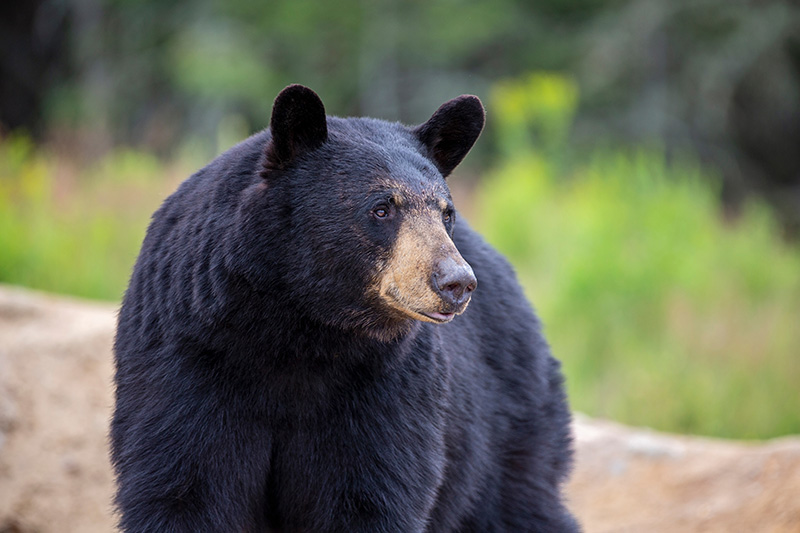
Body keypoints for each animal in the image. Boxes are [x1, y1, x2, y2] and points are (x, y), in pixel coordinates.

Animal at [111, 84, 579, 532]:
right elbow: (184, 486)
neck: (301, 327)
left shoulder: (384, 385)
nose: (456, 283)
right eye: (382, 208)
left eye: (446, 212)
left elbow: (369, 494)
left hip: (507, 423)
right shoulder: (190, 360)